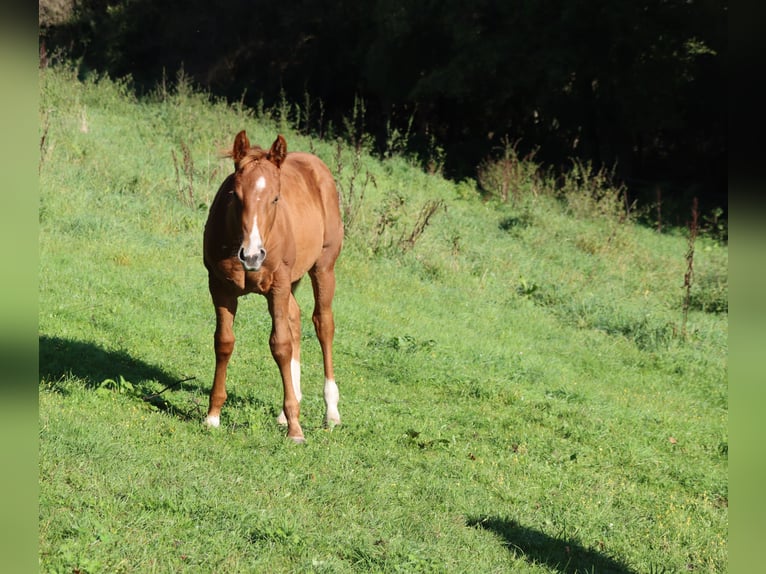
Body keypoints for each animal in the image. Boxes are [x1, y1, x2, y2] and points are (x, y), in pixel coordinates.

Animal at [203, 131, 343, 443]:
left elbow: (280, 345)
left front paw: (296, 430)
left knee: (323, 324)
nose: (252, 256)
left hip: (323, 269)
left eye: (276, 198)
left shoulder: (277, 287)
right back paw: (287, 409)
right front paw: (212, 416)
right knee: (295, 318)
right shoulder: (220, 287)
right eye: (234, 195)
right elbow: (224, 342)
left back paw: (331, 413)